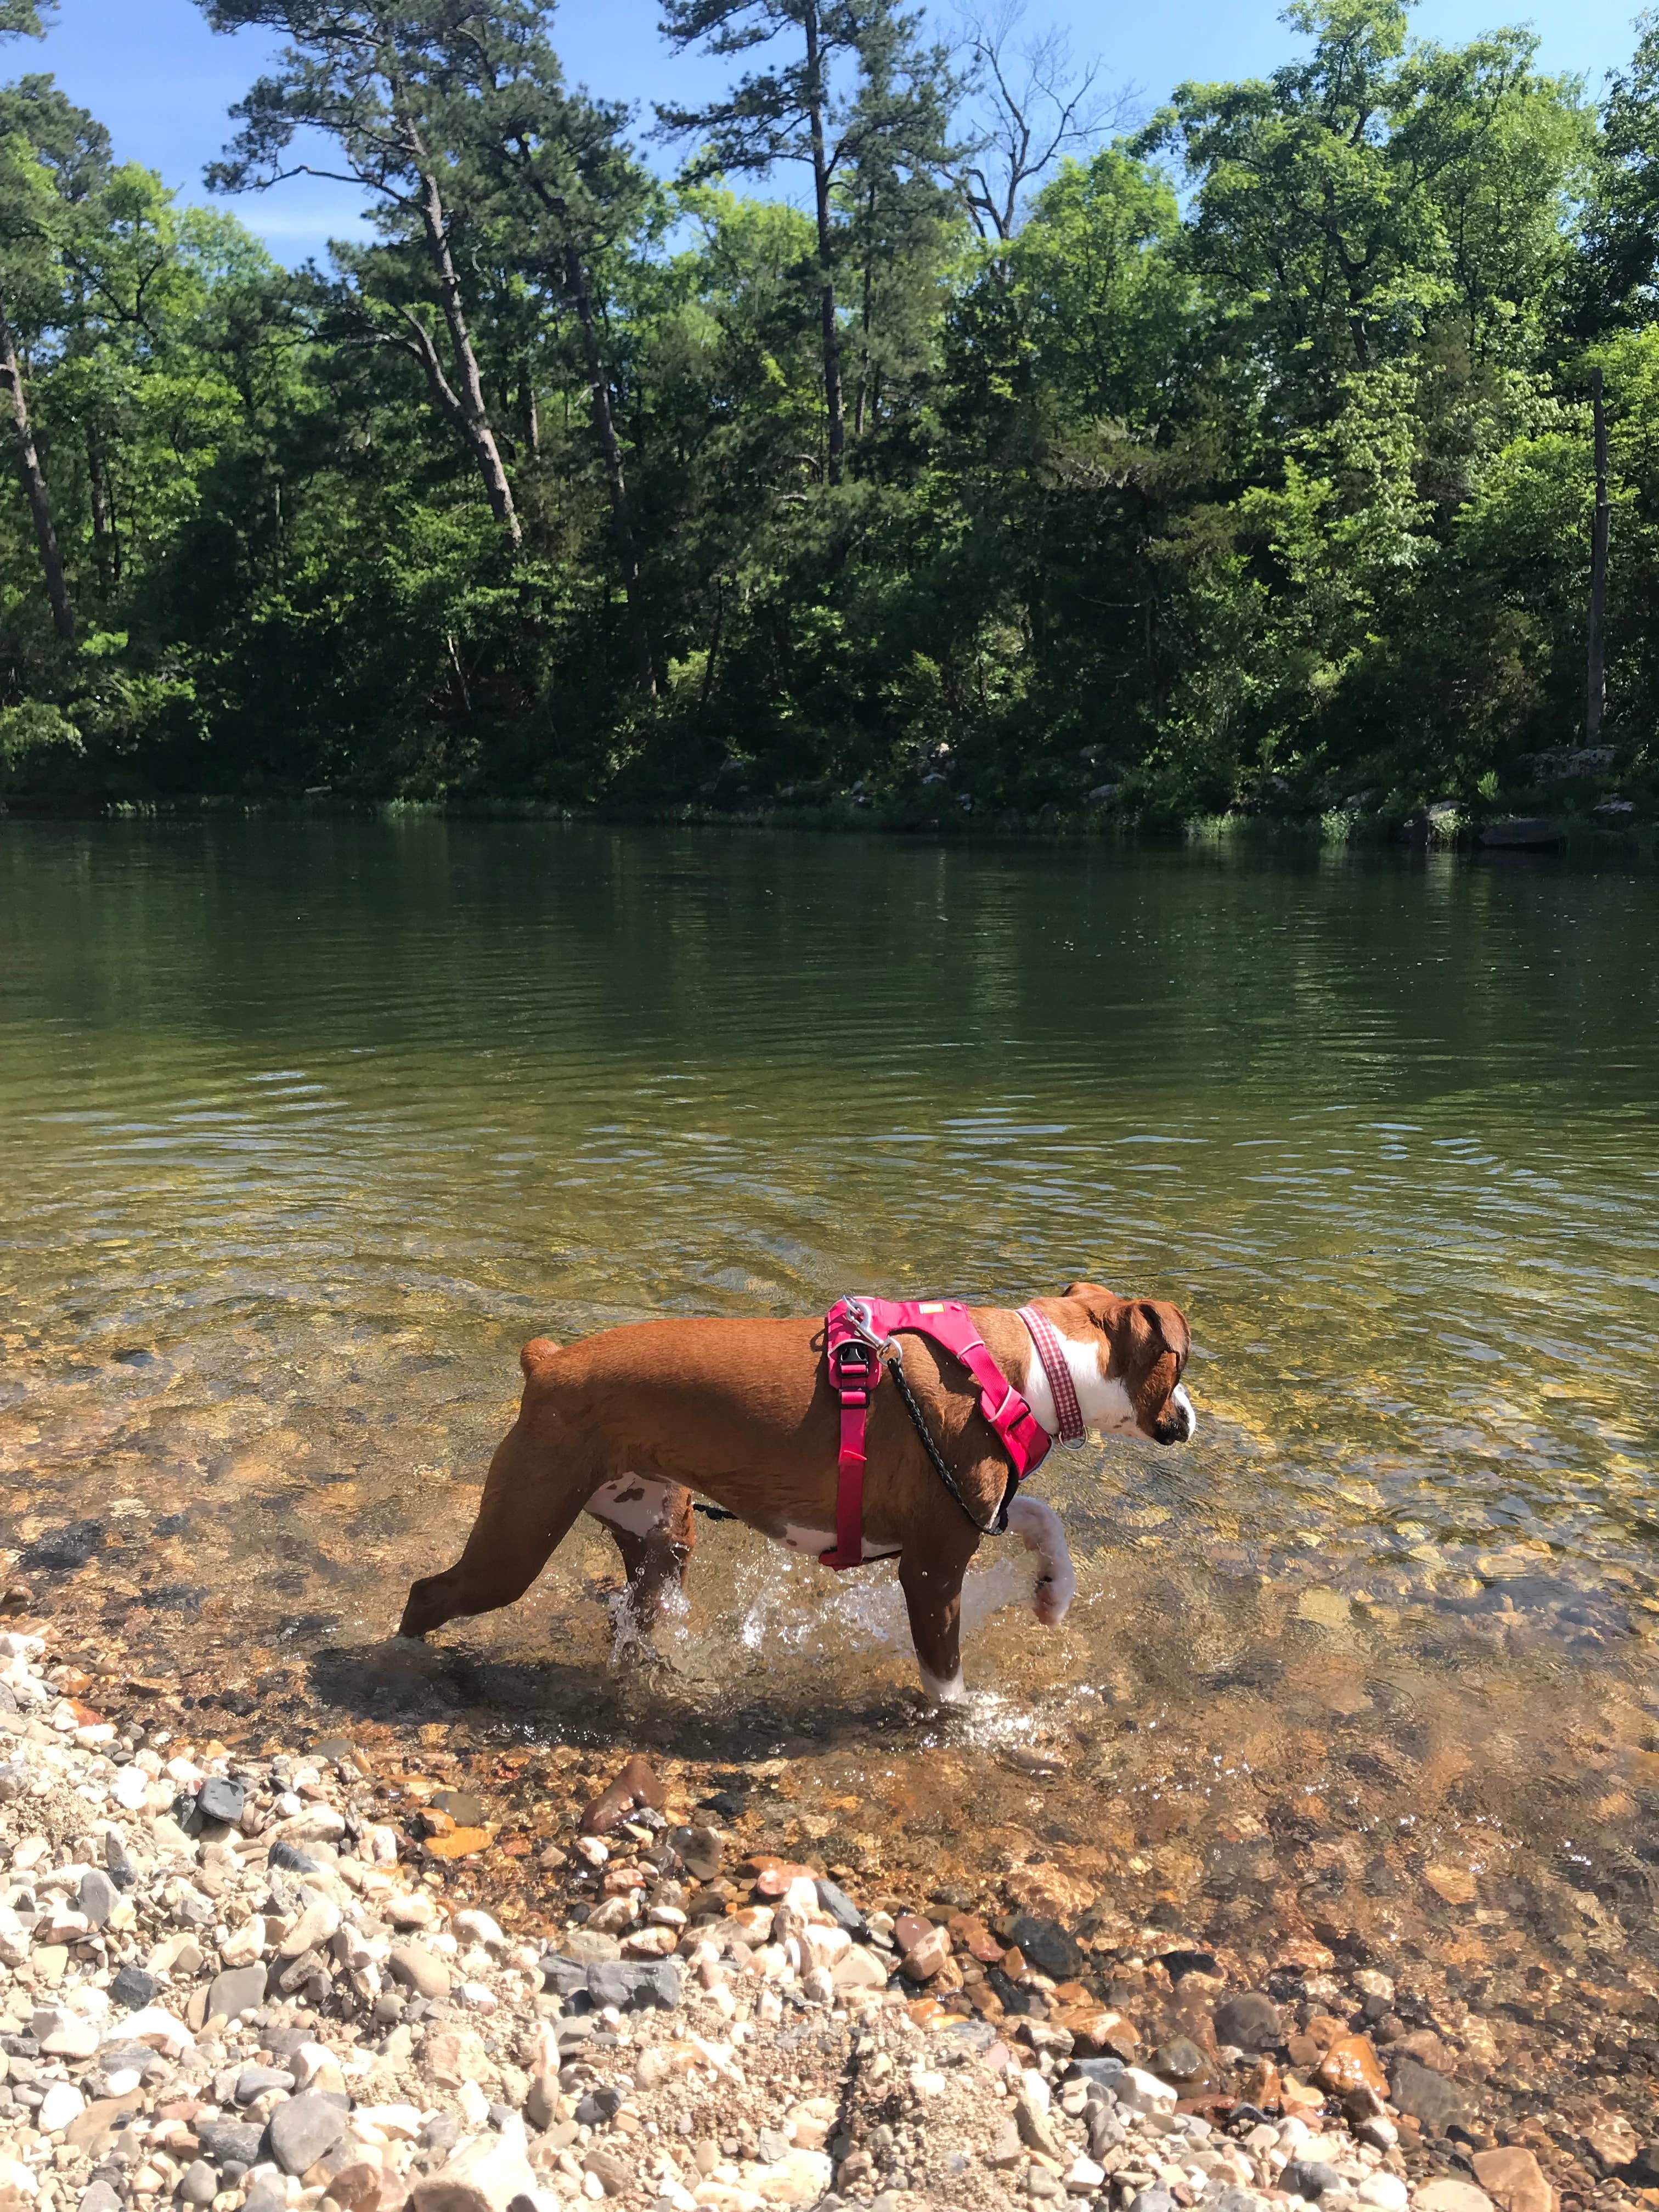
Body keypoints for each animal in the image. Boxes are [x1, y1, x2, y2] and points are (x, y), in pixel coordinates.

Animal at [400, 1283, 1194, 1690]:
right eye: (1182, 1366)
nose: (1189, 1418)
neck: (1025, 1363)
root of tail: (550, 1361)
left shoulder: (966, 1514)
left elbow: (1040, 1515)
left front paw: (1054, 1593)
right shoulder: (932, 1570)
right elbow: (946, 1681)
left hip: (661, 1536)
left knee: (638, 1608)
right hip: (515, 1545)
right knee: (429, 1595)